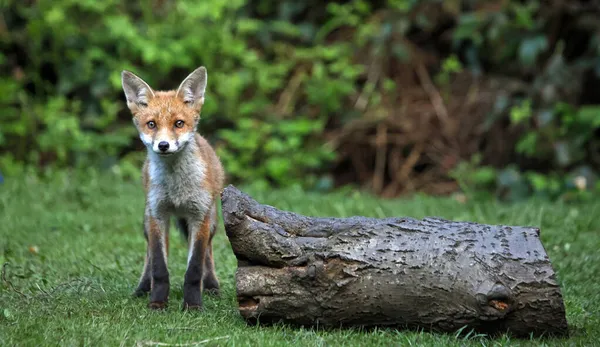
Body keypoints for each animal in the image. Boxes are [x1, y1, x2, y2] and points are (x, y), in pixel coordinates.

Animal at [120, 66, 224, 312]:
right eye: (151, 124)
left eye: (178, 123)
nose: (163, 145)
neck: (177, 189)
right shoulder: (158, 215)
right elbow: (159, 266)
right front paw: (157, 302)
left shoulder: (199, 216)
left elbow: (194, 268)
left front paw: (193, 305)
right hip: (147, 220)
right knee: (149, 256)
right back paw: (142, 288)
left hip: (212, 221)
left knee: (208, 253)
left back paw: (212, 286)